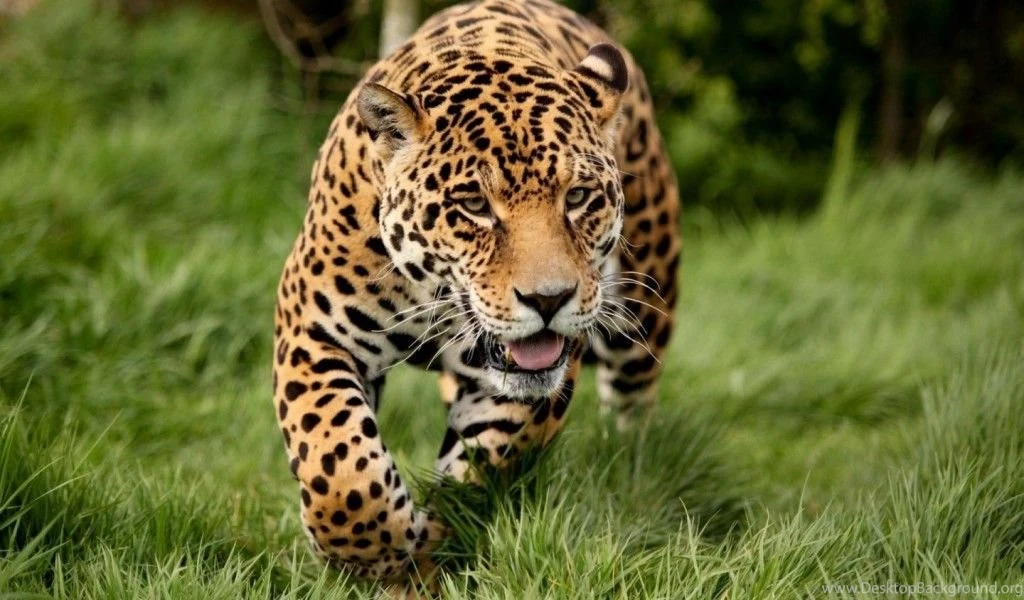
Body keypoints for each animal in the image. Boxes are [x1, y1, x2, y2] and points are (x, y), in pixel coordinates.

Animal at [272, 0, 680, 593]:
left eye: (578, 197)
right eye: (474, 205)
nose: (549, 300)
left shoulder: (527, 387)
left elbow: (477, 470)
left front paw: (426, 552)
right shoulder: (313, 331)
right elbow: (339, 464)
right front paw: (374, 556)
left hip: (645, 310)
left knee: (632, 406)